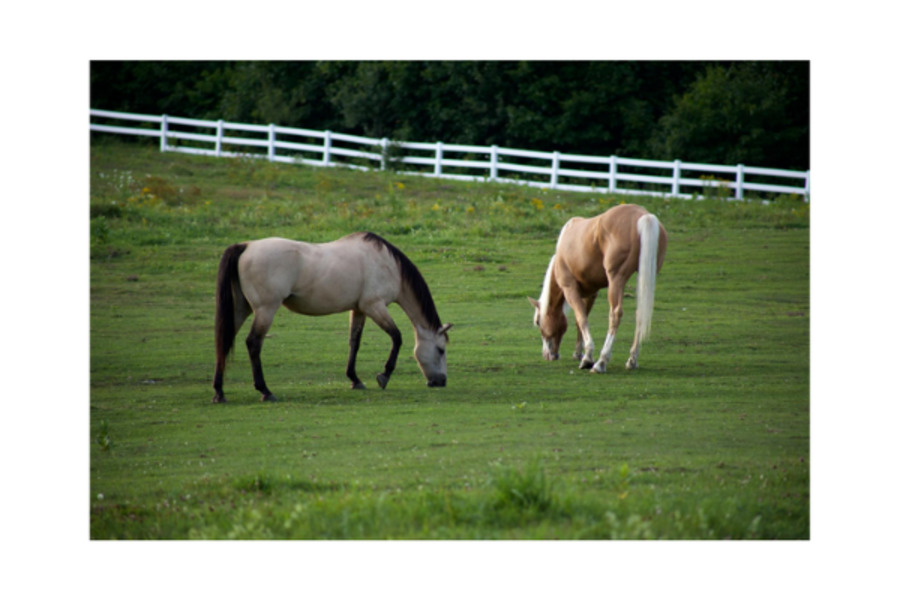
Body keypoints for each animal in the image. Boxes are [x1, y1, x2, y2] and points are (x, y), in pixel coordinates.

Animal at [209, 231, 450, 404]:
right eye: (441, 350)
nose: (441, 382)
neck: (387, 264)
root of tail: (246, 246)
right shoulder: (374, 306)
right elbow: (397, 337)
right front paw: (384, 375)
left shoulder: (359, 309)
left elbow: (354, 342)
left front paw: (354, 379)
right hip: (265, 310)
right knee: (253, 343)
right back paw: (265, 391)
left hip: (241, 309)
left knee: (224, 341)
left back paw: (219, 392)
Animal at [528, 206, 668, 376]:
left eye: (538, 321)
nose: (549, 355)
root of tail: (644, 215)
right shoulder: (591, 293)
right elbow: (580, 320)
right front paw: (578, 353)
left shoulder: (570, 289)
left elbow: (581, 318)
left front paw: (587, 358)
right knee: (640, 313)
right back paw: (632, 360)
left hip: (616, 280)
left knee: (615, 315)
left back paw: (601, 362)